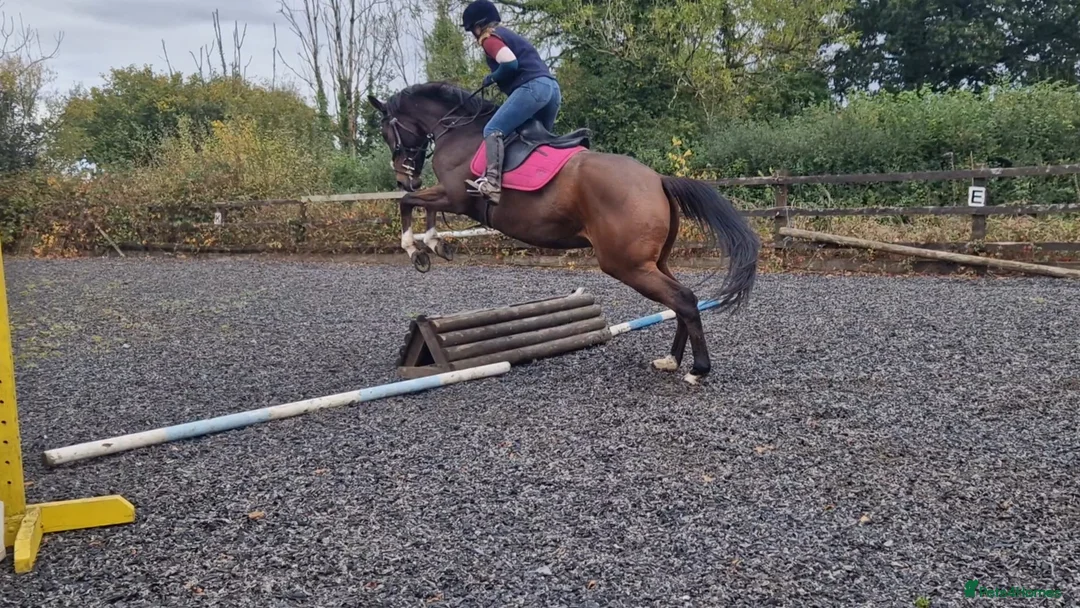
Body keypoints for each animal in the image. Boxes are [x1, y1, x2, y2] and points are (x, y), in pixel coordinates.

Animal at [367, 82, 760, 385]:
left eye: (387, 132)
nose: (404, 177)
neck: (460, 130)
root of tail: (657, 180)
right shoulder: (448, 195)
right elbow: (421, 204)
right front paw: (434, 244)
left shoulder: (456, 196)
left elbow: (409, 203)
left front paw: (416, 248)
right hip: (652, 263)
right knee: (681, 300)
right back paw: (672, 360)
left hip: (628, 266)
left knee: (683, 300)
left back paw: (696, 369)